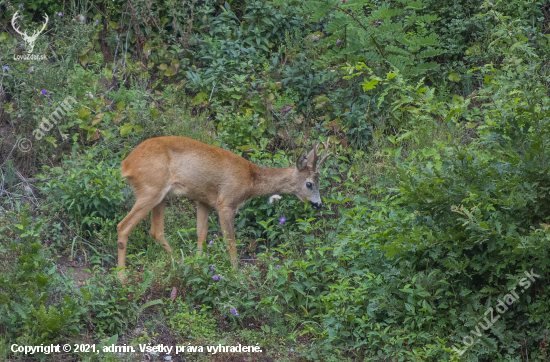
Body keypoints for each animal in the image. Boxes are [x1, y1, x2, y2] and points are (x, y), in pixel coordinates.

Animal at [116, 136, 332, 280]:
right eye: (309, 184)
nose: (318, 204)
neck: (251, 180)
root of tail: (126, 164)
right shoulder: (226, 203)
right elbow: (231, 241)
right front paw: (236, 274)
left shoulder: (204, 200)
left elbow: (201, 235)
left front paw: (198, 265)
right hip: (150, 188)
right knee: (123, 226)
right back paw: (122, 279)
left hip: (161, 196)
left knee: (156, 230)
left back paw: (180, 262)